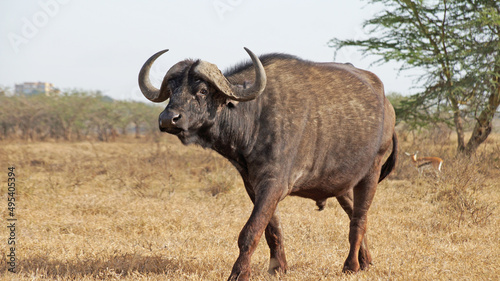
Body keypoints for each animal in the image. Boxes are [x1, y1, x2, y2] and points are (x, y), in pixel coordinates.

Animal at [139, 47, 396, 278]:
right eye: (172, 89)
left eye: (202, 90)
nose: (168, 119)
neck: (254, 117)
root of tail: (387, 104)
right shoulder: (254, 186)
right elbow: (272, 230)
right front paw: (278, 268)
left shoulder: (274, 184)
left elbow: (250, 231)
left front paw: (240, 272)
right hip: (342, 184)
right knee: (356, 215)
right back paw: (365, 261)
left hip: (371, 172)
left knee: (359, 220)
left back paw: (351, 265)